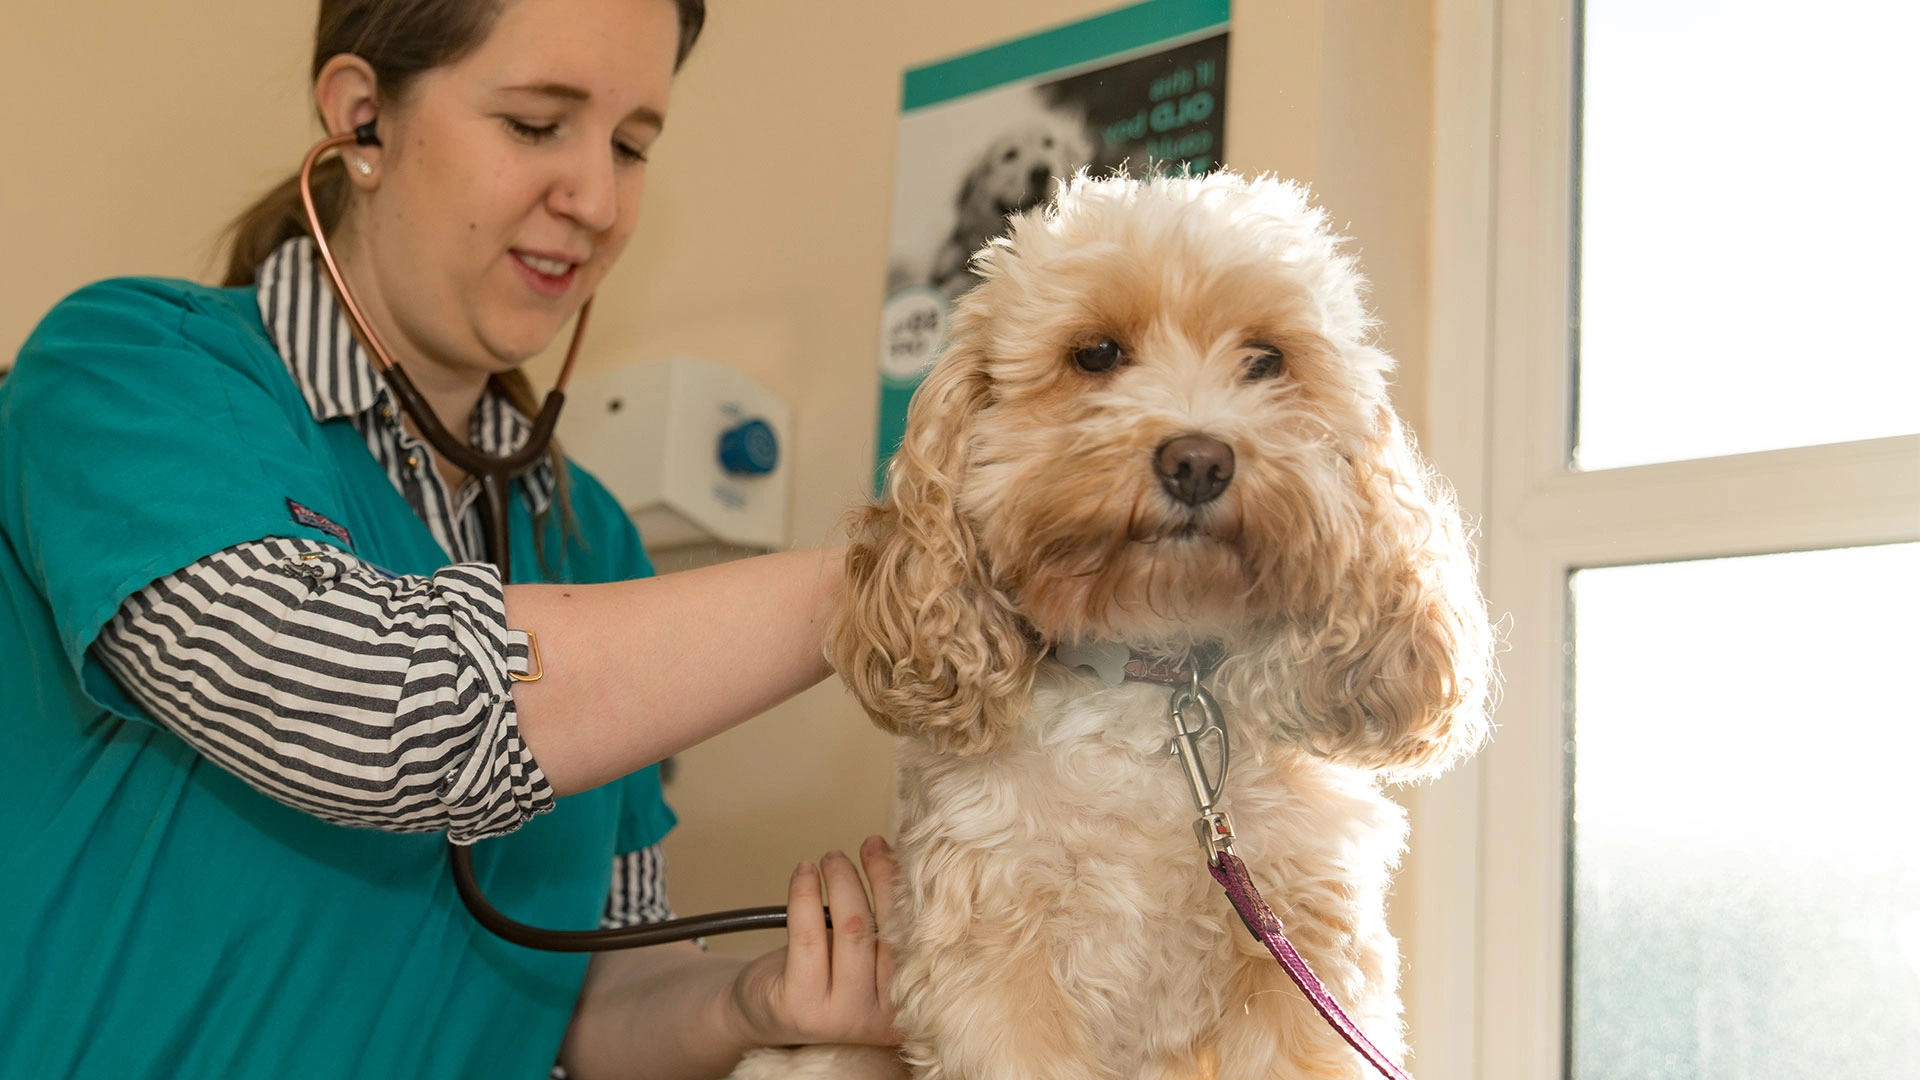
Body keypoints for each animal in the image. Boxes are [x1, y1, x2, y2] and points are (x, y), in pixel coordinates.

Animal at [729, 171, 1482, 1068]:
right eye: (1096, 355)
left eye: (1267, 361)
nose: (1198, 461)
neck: (1153, 681)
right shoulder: (991, 960)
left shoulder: (1304, 960)